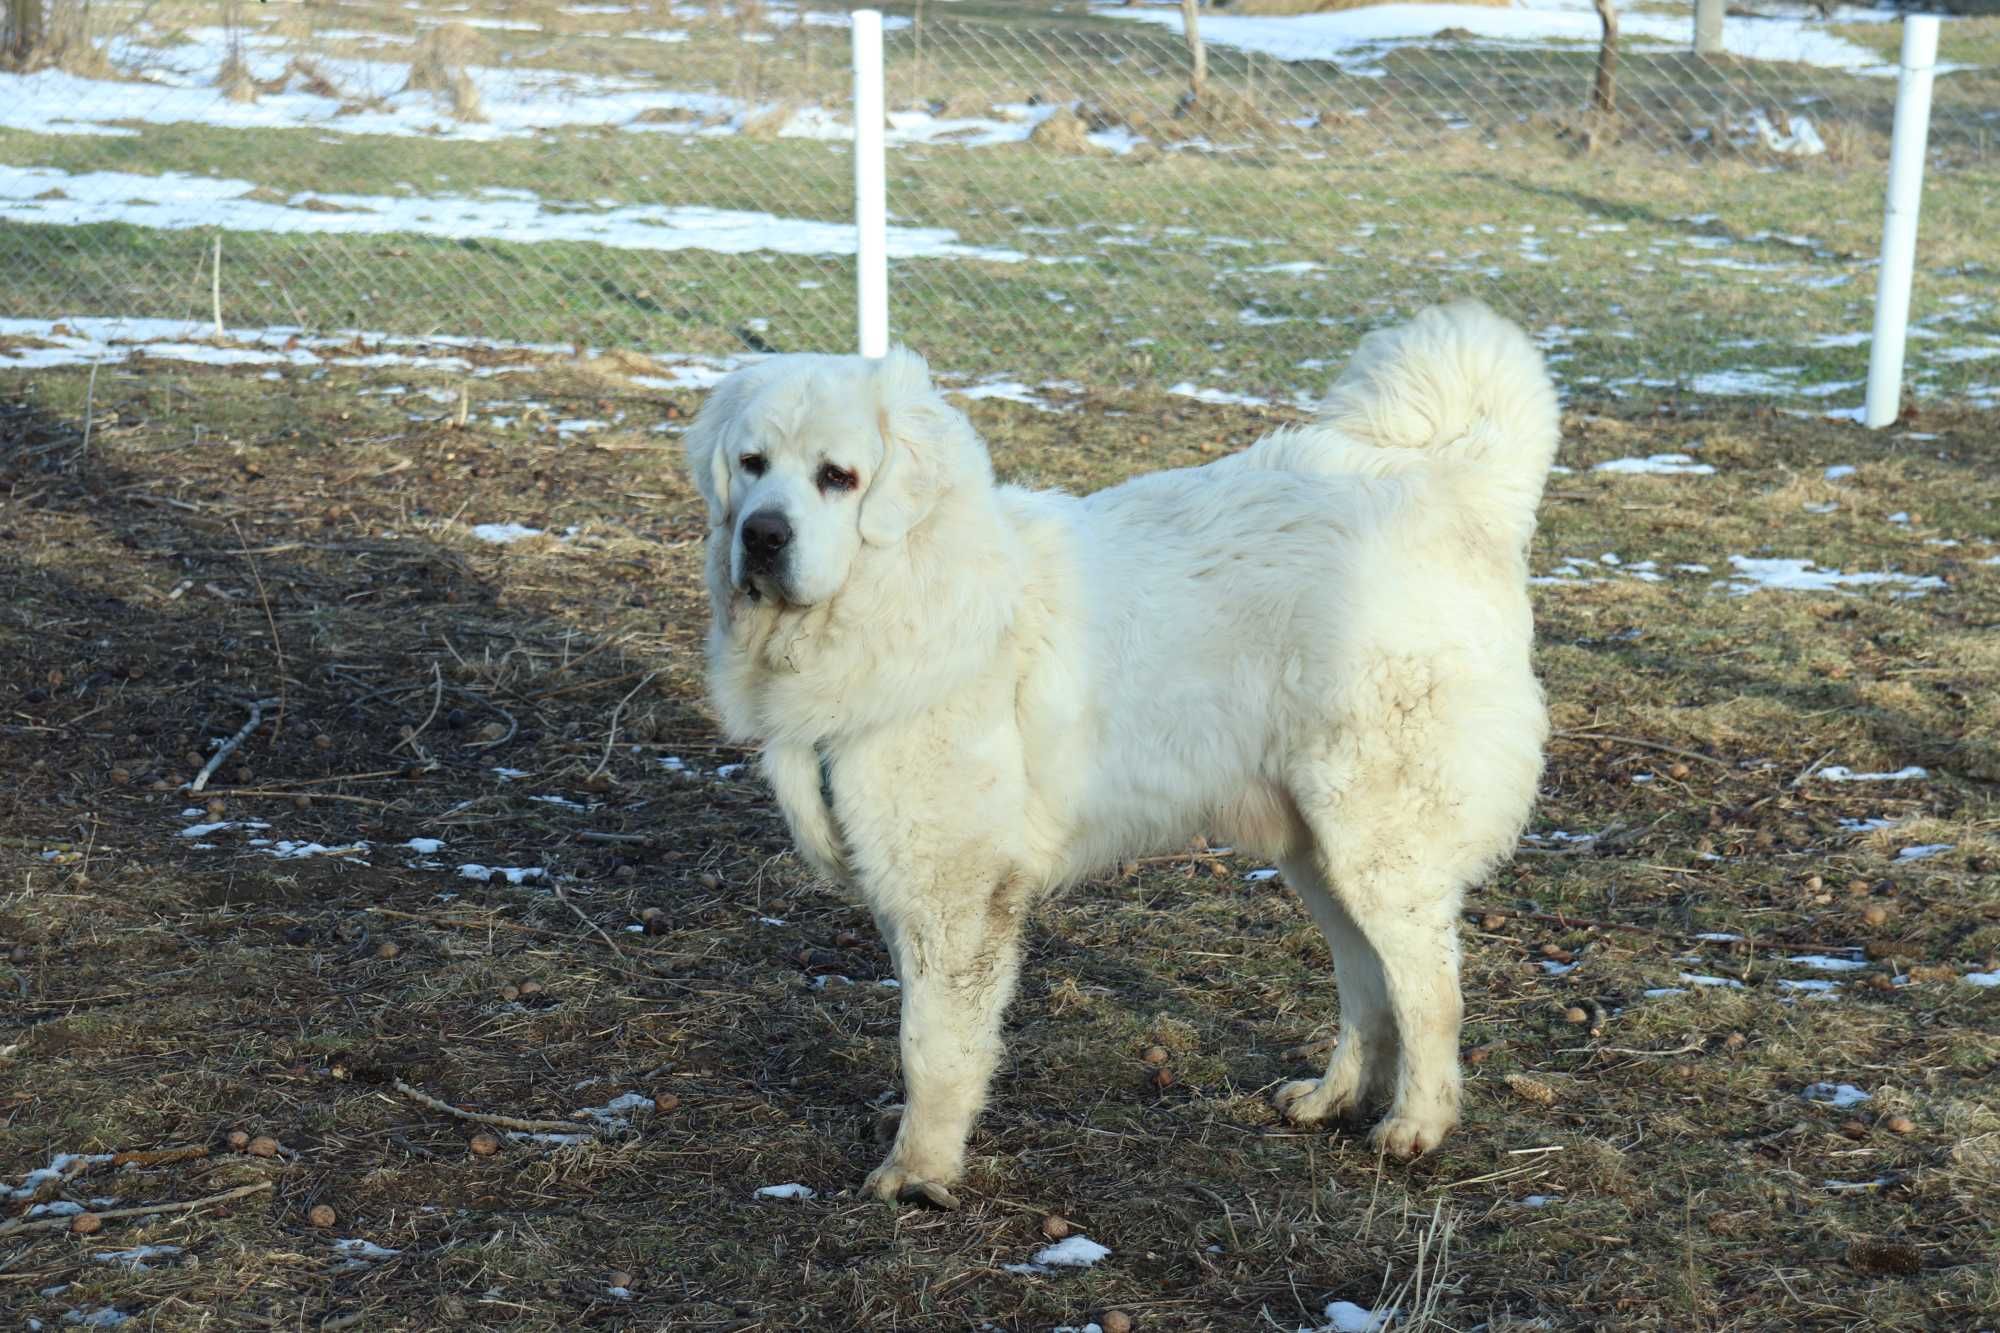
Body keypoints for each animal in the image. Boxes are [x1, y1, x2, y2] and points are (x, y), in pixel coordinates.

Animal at [688, 298, 1560, 1200]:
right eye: (752, 464)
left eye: (839, 476)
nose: (762, 535)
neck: (896, 601)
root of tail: (1450, 483)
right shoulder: (904, 878)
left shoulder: (955, 890)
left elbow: (933, 1043)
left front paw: (920, 1170)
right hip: (1319, 850)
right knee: (1368, 986)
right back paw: (1333, 1097)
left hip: (1379, 840)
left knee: (1428, 989)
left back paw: (1418, 1124)